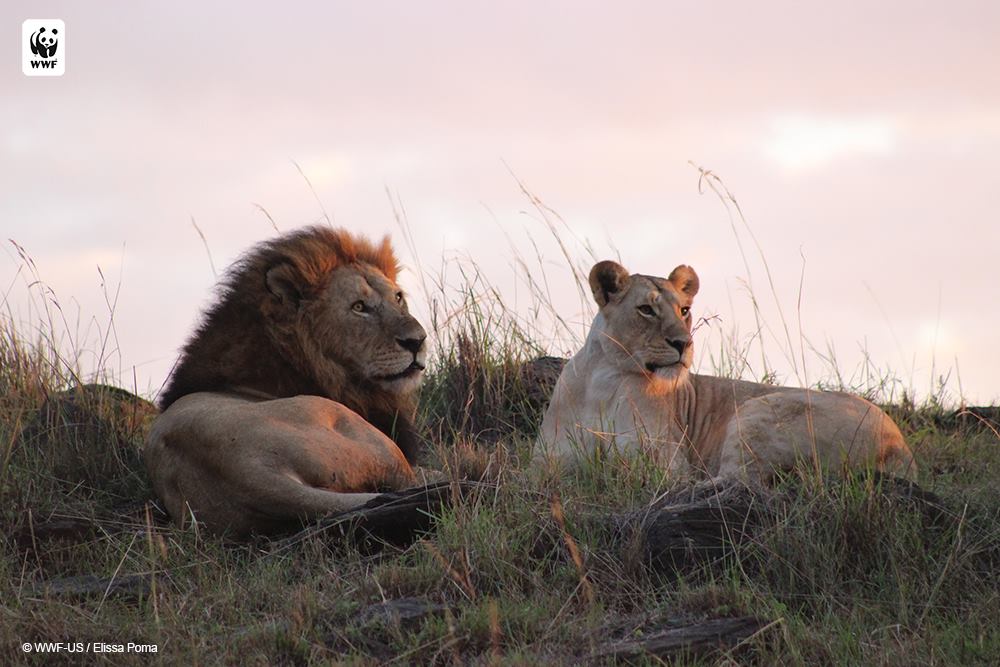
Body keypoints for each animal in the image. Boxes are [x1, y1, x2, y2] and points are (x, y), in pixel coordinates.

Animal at [537, 260, 917, 481]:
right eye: (646, 309)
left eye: (684, 309)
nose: (684, 343)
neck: (603, 380)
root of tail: (900, 445)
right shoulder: (547, 463)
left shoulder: (666, 462)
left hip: (759, 411)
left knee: (737, 480)